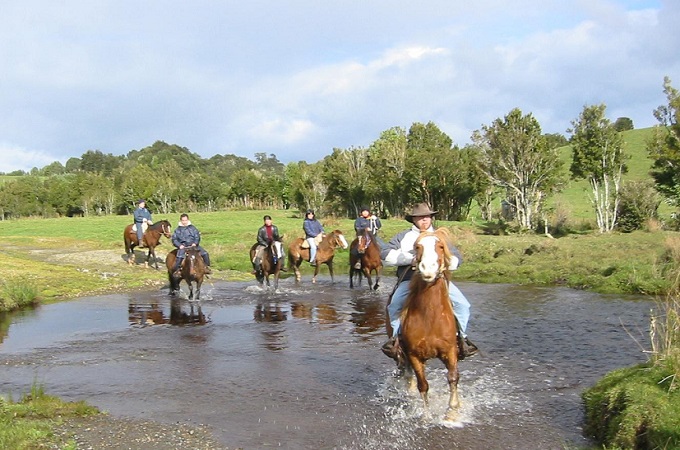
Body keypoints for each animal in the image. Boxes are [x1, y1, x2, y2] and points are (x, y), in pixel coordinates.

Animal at [386, 229, 460, 422]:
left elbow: (453, 378)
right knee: (407, 374)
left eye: (440, 246)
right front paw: (426, 415)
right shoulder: (414, 355)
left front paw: (452, 412)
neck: (430, 316)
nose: (427, 269)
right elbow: (423, 385)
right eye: (417, 247)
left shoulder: (450, 351)